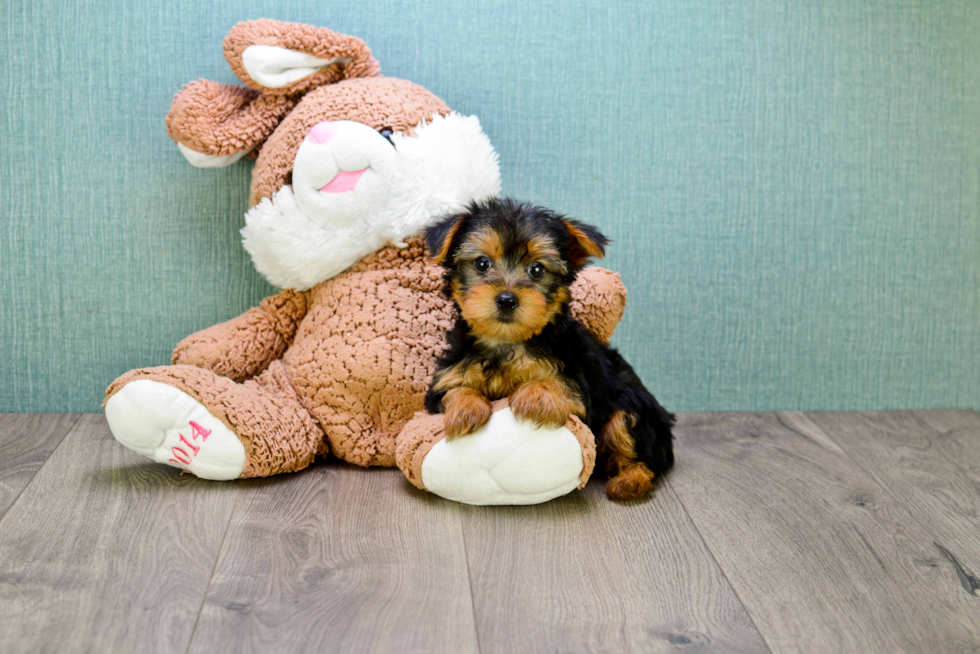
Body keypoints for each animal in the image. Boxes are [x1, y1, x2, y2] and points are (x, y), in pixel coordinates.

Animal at [422, 199, 672, 502]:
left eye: (537, 270)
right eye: (482, 263)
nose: (507, 299)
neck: (506, 342)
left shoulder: (576, 386)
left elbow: (557, 385)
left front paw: (535, 396)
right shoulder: (447, 376)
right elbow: (454, 389)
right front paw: (466, 408)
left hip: (633, 410)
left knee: (634, 444)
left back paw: (630, 481)